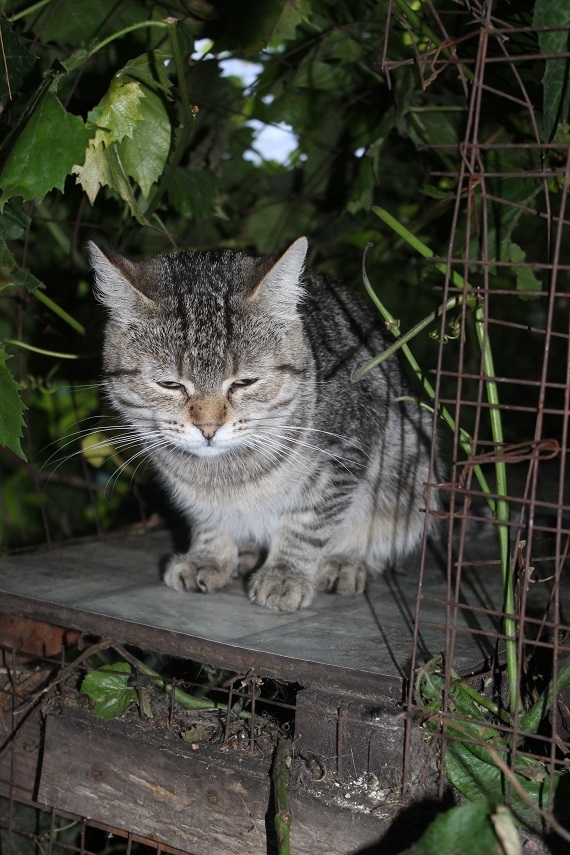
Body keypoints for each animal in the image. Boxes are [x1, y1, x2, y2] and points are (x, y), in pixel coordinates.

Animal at [91, 237, 438, 612]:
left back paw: (347, 561)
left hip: (413, 461)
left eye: (245, 382)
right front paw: (210, 557)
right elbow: (207, 515)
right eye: (170, 384)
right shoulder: (191, 487)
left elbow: (308, 521)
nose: (208, 427)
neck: (227, 471)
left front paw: (285, 574)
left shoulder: (344, 452)